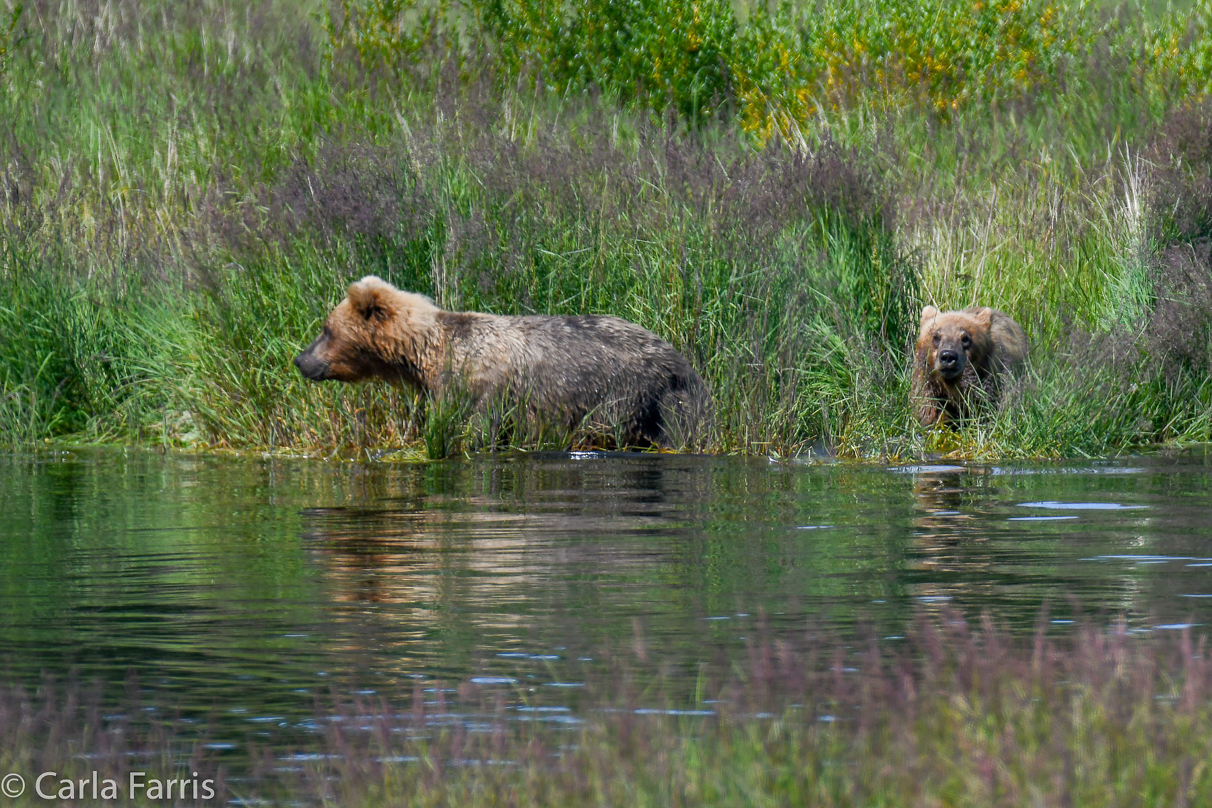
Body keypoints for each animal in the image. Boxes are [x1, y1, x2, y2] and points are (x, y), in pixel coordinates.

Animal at [293, 276, 707, 448]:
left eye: (326, 328)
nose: (299, 359)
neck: (426, 353)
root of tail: (680, 360)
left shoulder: (479, 388)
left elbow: (470, 432)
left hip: (628, 394)